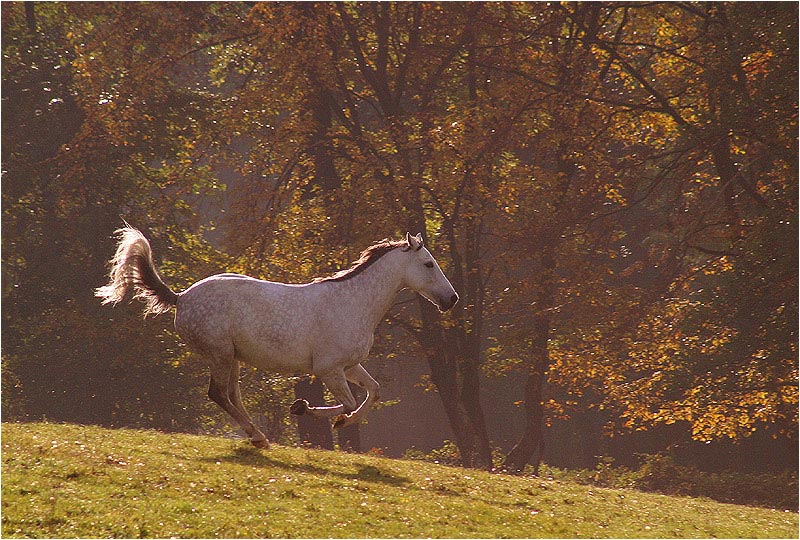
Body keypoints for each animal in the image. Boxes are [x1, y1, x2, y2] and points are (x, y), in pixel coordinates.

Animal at [94, 227, 456, 448]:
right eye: (428, 264)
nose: (451, 299)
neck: (353, 302)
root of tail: (181, 298)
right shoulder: (328, 370)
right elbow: (351, 404)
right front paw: (312, 412)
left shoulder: (350, 366)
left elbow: (374, 392)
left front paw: (320, 414)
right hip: (220, 355)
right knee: (218, 394)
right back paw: (258, 437)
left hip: (233, 359)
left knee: (231, 396)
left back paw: (259, 437)